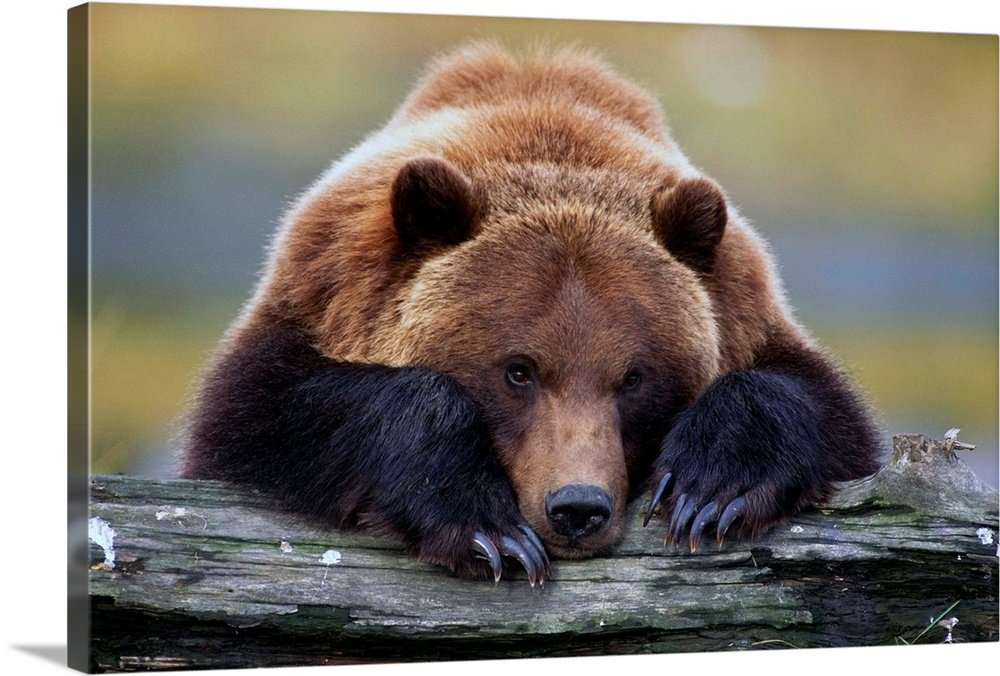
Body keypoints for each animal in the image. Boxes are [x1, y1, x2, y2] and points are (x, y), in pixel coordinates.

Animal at [182, 43, 881, 586]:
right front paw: (487, 529)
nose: (578, 507)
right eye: (518, 370)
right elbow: (262, 416)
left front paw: (709, 491)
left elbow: (826, 416)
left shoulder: (746, 314)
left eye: (634, 377)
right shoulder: (314, 303)